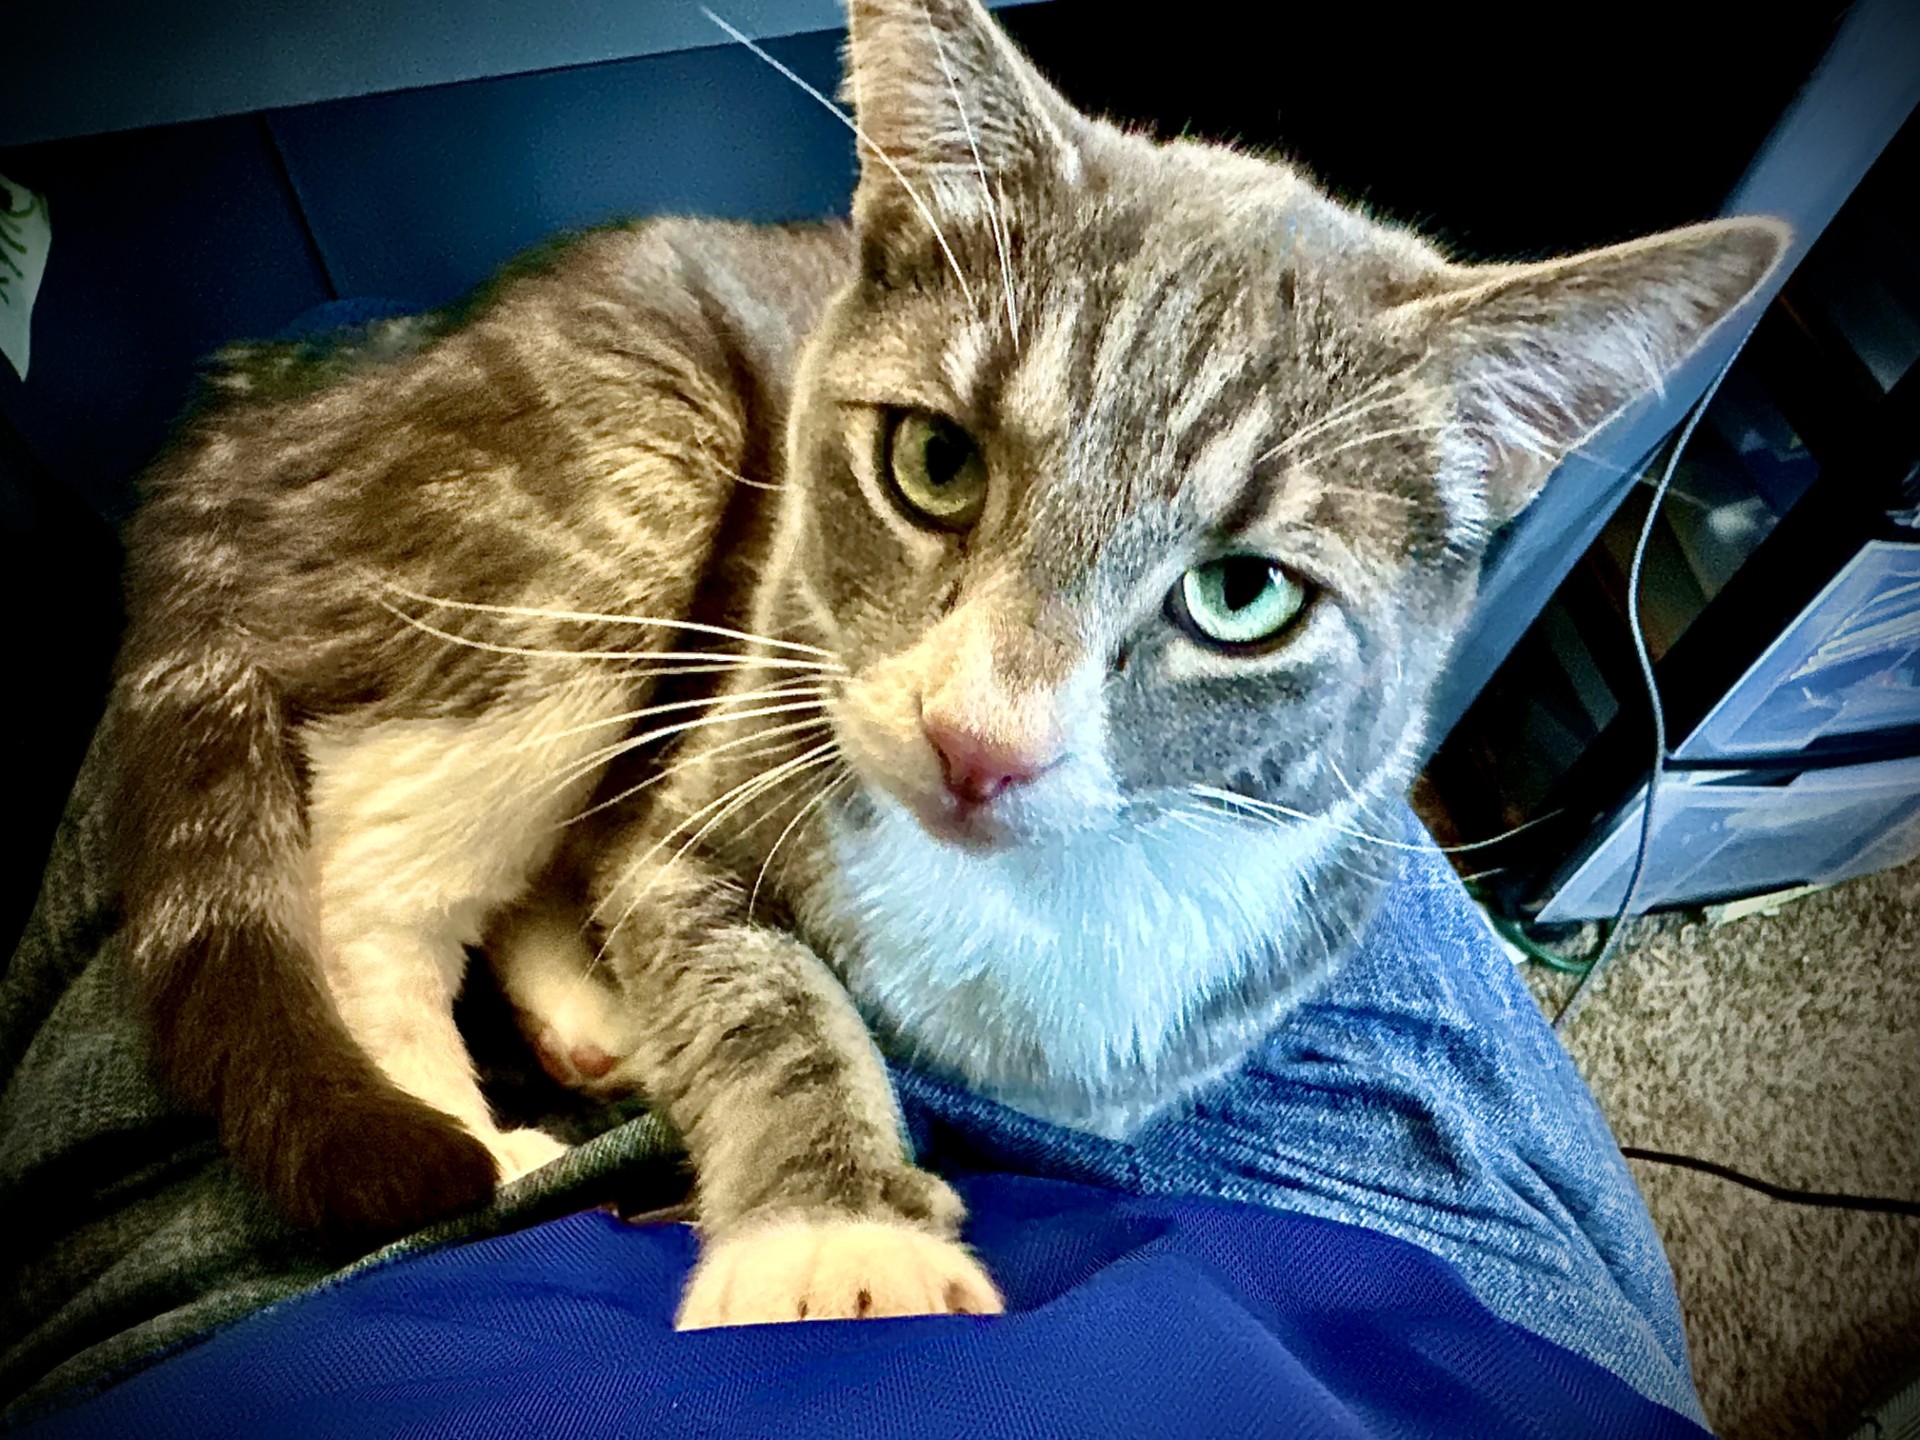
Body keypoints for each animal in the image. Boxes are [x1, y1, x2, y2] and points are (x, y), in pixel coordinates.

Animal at [109, 0, 1784, 1328]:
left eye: (1243, 595)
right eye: (934, 461)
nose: (980, 744)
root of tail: (293, 399)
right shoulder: (732, 759)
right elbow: (763, 997)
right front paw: (835, 1240)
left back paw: (586, 1011)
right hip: (614, 475)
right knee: (384, 868)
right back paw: (471, 1125)